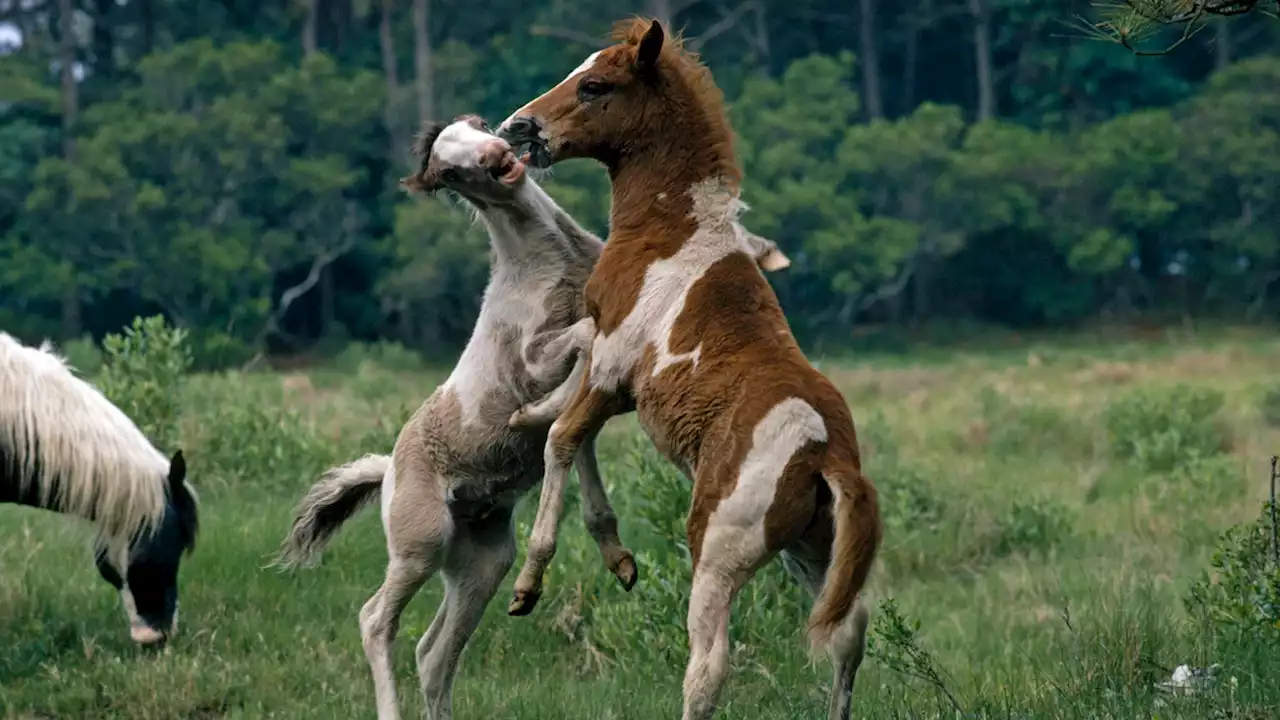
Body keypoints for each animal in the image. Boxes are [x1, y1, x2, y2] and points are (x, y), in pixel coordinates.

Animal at [496, 16, 880, 717]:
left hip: (719, 548)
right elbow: (565, 410)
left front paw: (530, 584)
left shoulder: (614, 367)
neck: (672, 235)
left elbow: (564, 439)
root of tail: (825, 456)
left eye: (595, 85)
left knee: (708, 666)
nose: (518, 128)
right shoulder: (606, 358)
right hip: (813, 551)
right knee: (847, 636)